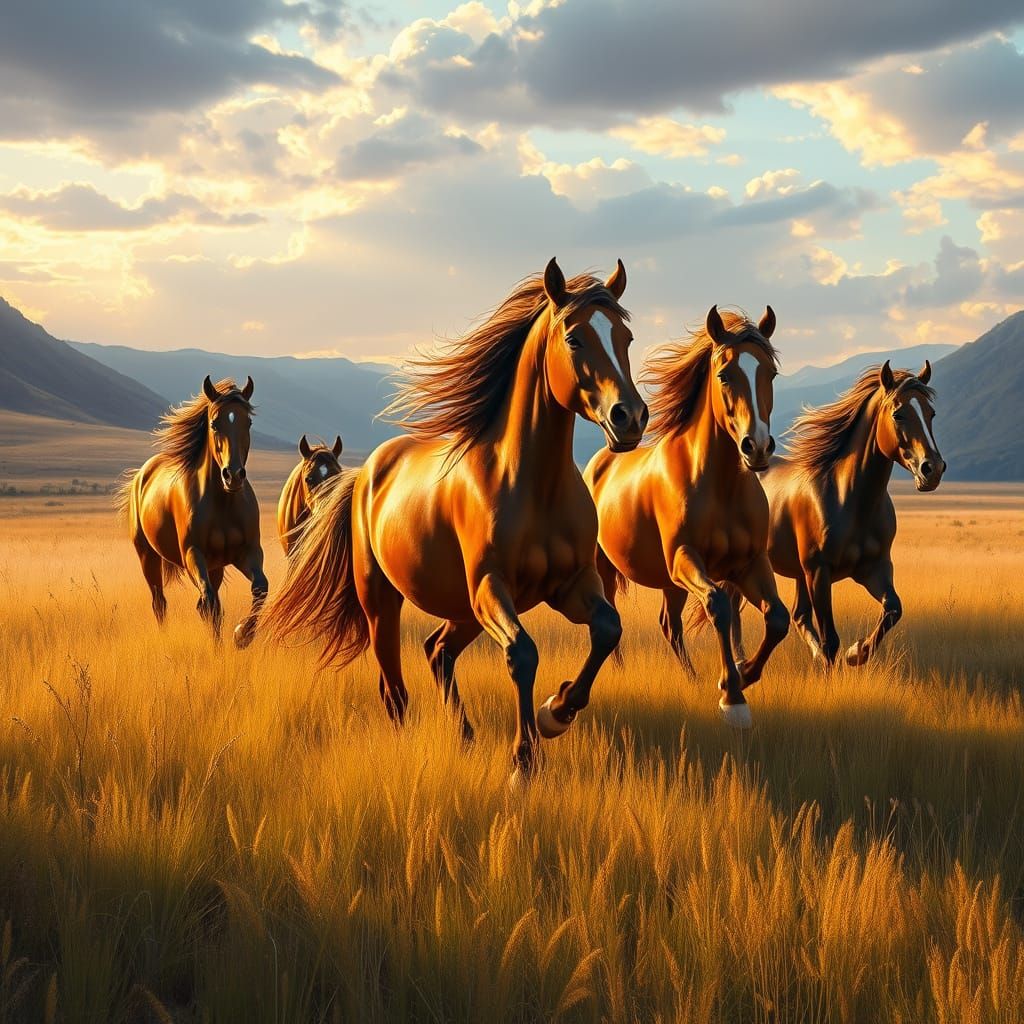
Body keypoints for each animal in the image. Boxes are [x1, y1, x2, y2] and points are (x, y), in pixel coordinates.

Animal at [118, 376, 268, 648]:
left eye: (248, 422)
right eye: (214, 423)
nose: (233, 475)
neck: (223, 502)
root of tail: (142, 474)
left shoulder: (248, 552)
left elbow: (260, 588)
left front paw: (242, 634)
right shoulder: (193, 554)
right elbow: (209, 604)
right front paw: (223, 645)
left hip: (216, 566)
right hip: (148, 556)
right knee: (160, 602)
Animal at [262, 258, 648, 778]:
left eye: (625, 337)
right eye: (574, 338)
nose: (630, 417)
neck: (534, 485)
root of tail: (366, 474)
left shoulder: (571, 584)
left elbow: (607, 629)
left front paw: (557, 711)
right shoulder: (490, 586)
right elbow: (522, 654)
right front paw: (524, 760)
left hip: (463, 609)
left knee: (438, 651)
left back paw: (465, 735)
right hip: (385, 602)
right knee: (394, 683)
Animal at [584, 306, 788, 729]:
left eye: (770, 374)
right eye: (725, 374)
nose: (758, 447)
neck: (720, 484)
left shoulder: (750, 563)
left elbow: (777, 617)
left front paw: (744, 673)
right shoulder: (685, 559)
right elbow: (718, 606)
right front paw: (732, 697)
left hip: (670, 583)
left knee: (670, 625)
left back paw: (692, 677)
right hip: (609, 567)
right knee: (614, 613)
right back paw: (620, 672)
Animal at [728, 360, 945, 667]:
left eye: (931, 413)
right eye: (898, 414)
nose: (933, 469)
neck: (851, 501)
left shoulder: (874, 569)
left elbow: (893, 609)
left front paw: (857, 652)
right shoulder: (819, 573)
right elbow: (831, 640)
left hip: (796, 572)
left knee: (798, 615)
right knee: (734, 606)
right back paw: (740, 662)